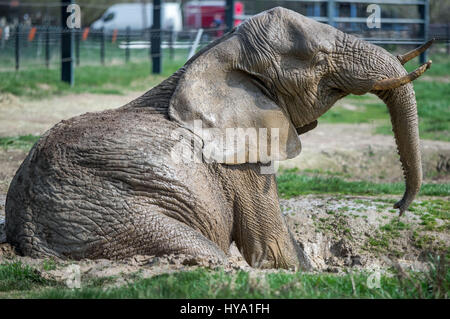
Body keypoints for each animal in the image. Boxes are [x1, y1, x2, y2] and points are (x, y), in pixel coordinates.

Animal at [4, 7, 432, 268]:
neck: (219, 51)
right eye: (320, 60)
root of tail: (24, 231)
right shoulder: (239, 161)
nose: (398, 206)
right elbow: (272, 249)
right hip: (109, 216)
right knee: (200, 249)